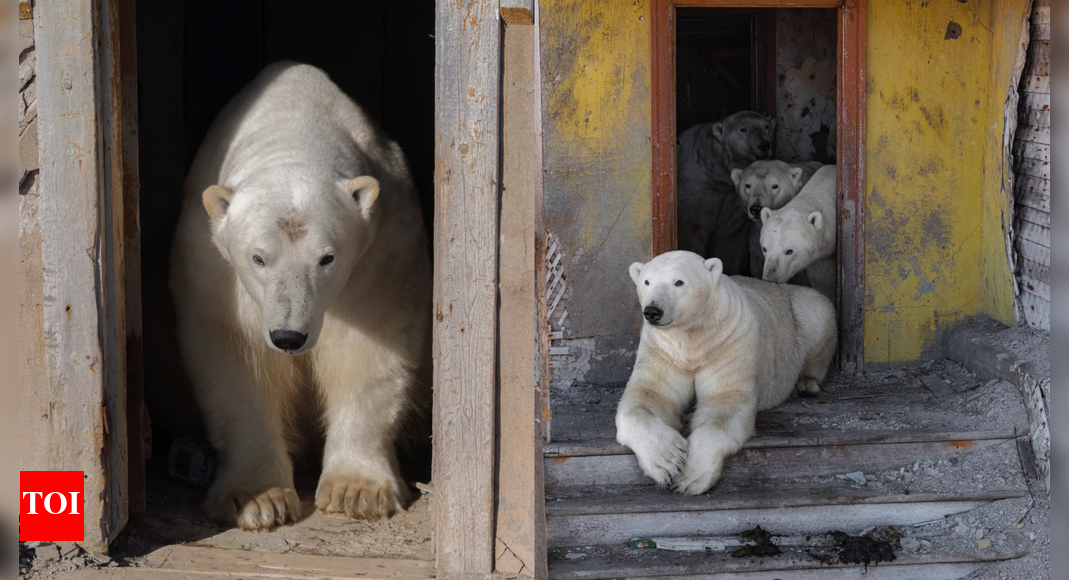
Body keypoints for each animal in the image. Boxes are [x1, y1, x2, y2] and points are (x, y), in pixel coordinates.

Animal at [169, 62, 432, 531]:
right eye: (258, 258)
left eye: (326, 258)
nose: (289, 337)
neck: (294, 125)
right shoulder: (211, 262)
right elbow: (237, 362)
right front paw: (257, 500)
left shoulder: (382, 249)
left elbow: (369, 349)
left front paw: (356, 492)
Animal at [615, 251, 837, 495]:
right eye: (647, 281)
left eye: (679, 282)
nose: (653, 311)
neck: (693, 337)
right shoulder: (663, 350)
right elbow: (648, 395)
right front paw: (667, 461)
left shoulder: (728, 343)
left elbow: (724, 402)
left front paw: (691, 477)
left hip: (803, 313)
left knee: (819, 313)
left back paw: (806, 384)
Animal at [676, 111, 776, 276]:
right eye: (743, 129)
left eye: (766, 126)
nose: (764, 145)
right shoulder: (697, 187)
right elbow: (692, 227)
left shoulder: (732, 198)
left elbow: (730, 236)